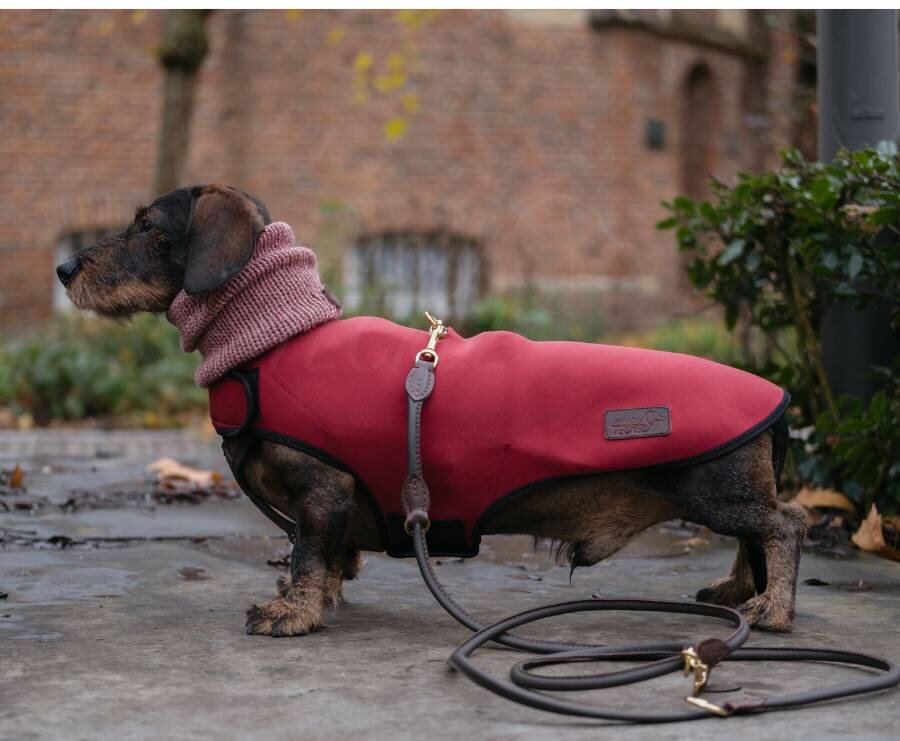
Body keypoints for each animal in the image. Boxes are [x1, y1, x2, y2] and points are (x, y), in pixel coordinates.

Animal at [58, 184, 807, 636]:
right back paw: (737, 591)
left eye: (147, 226)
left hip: (715, 489)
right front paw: (323, 594)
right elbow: (328, 557)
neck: (274, 334)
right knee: (760, 535)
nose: (63, 270)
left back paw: (772, 607)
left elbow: (307, 554)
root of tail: (775, 399)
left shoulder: (322, 489)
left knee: (785, 525)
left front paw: (293, 611)